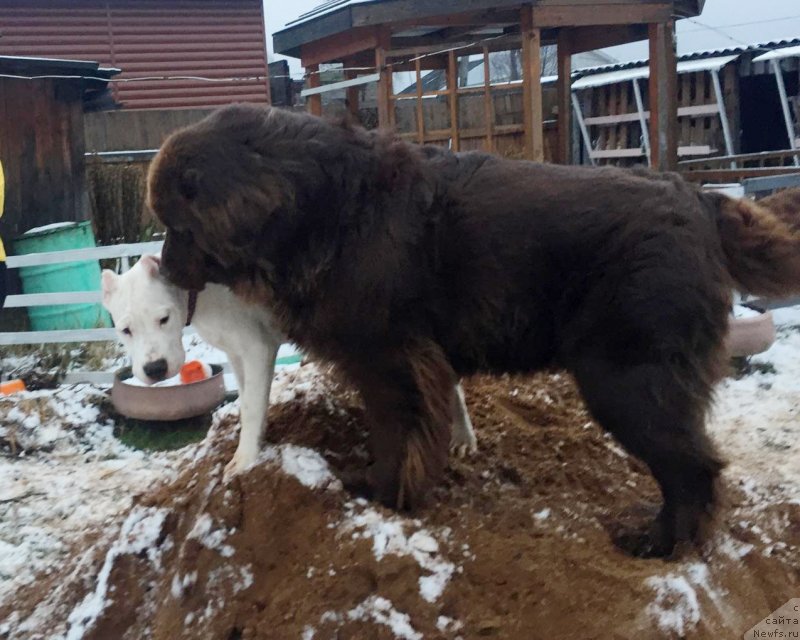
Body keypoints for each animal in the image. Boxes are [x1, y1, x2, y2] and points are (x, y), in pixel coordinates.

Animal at [100, 255, 476, 480]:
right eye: (125, 330)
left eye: (164, 319)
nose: (155, 369)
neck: (197, 292)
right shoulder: (236, 353)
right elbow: (249, 400)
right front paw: (256, 440)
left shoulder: (256, 348)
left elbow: (252, 406)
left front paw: (244, 459)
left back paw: (463, 436)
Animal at [147, 105, 800, 556]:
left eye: (179, 226)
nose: (164, 267)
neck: (323, 208)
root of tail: (700, 201)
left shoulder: (391, 358)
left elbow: (397, 433)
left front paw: (382, 492)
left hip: (628, 381)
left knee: (694, 469)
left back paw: (661, 543)